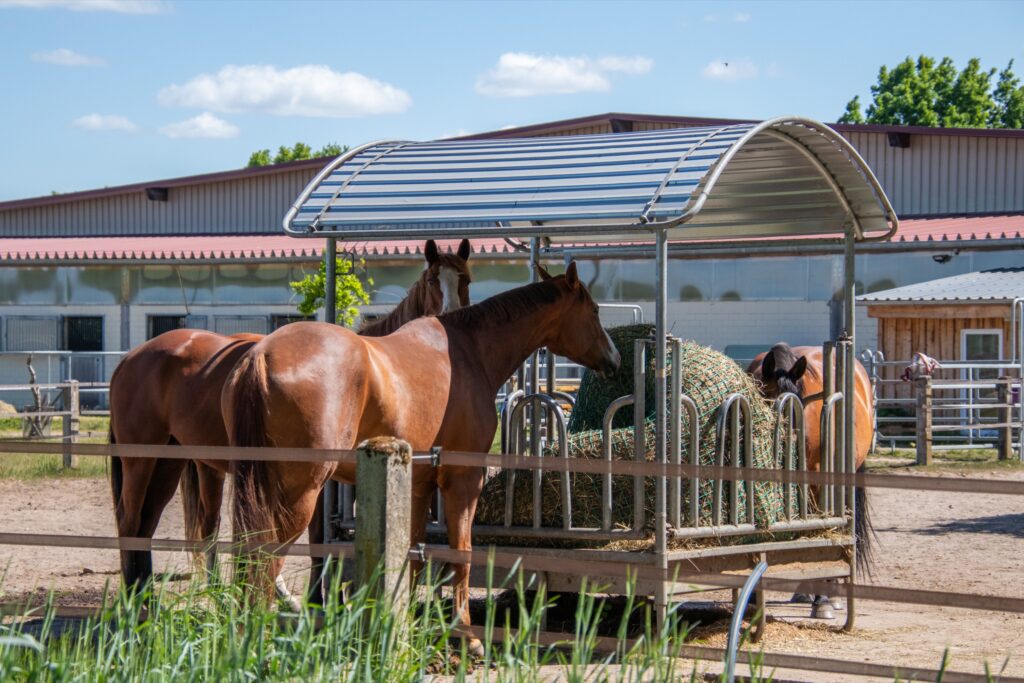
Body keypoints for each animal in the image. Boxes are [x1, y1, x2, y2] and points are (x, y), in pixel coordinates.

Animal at [109, 239, 472, 600]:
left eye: (465, 280)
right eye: (432, 280)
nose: (448, 319)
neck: (375, 371)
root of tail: (130, 358)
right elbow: (316, 538)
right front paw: (315, 599)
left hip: (171, 460)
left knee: (154, 521)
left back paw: (147, 594)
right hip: (141, 459)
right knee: (132, 520)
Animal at [224, 261, 620, 649]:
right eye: (594, 310)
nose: (613, 360)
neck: (469, 352)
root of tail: (261, 356)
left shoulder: (417, 484)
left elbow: (412, 556)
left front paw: (405, 625)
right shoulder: (464, 480)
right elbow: (461, 552)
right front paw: (466, 635)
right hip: (298, 495)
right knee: (266, 560)